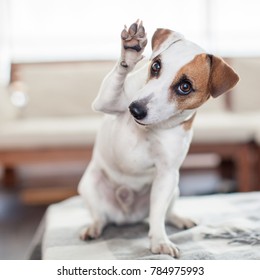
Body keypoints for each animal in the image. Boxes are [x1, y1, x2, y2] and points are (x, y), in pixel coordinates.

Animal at [77, 20, 240, 258]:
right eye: (155, 66)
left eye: (185, 87)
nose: (135, 109)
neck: (150, 128)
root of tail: (127, 217)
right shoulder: (106, 101)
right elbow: (117, 80)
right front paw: (131, 50)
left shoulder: (167, 174)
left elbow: (157, 215)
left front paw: (160, 241)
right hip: (90, 184)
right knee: (99, 216)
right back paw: (93, 227)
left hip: (174, 188)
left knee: (163, 212)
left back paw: (179, 219)